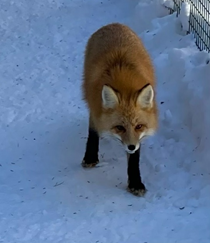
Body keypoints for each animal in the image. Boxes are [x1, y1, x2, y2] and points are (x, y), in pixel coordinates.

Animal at [81, 22, 157, 196]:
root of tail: (114, 24)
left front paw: (135, 182)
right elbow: (93, 130)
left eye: (139, 126)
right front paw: (90, 156)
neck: (124, 84)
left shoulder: (137, 138)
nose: (131, 146)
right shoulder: (95, 107)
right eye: (119, 128)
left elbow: (134, 158)